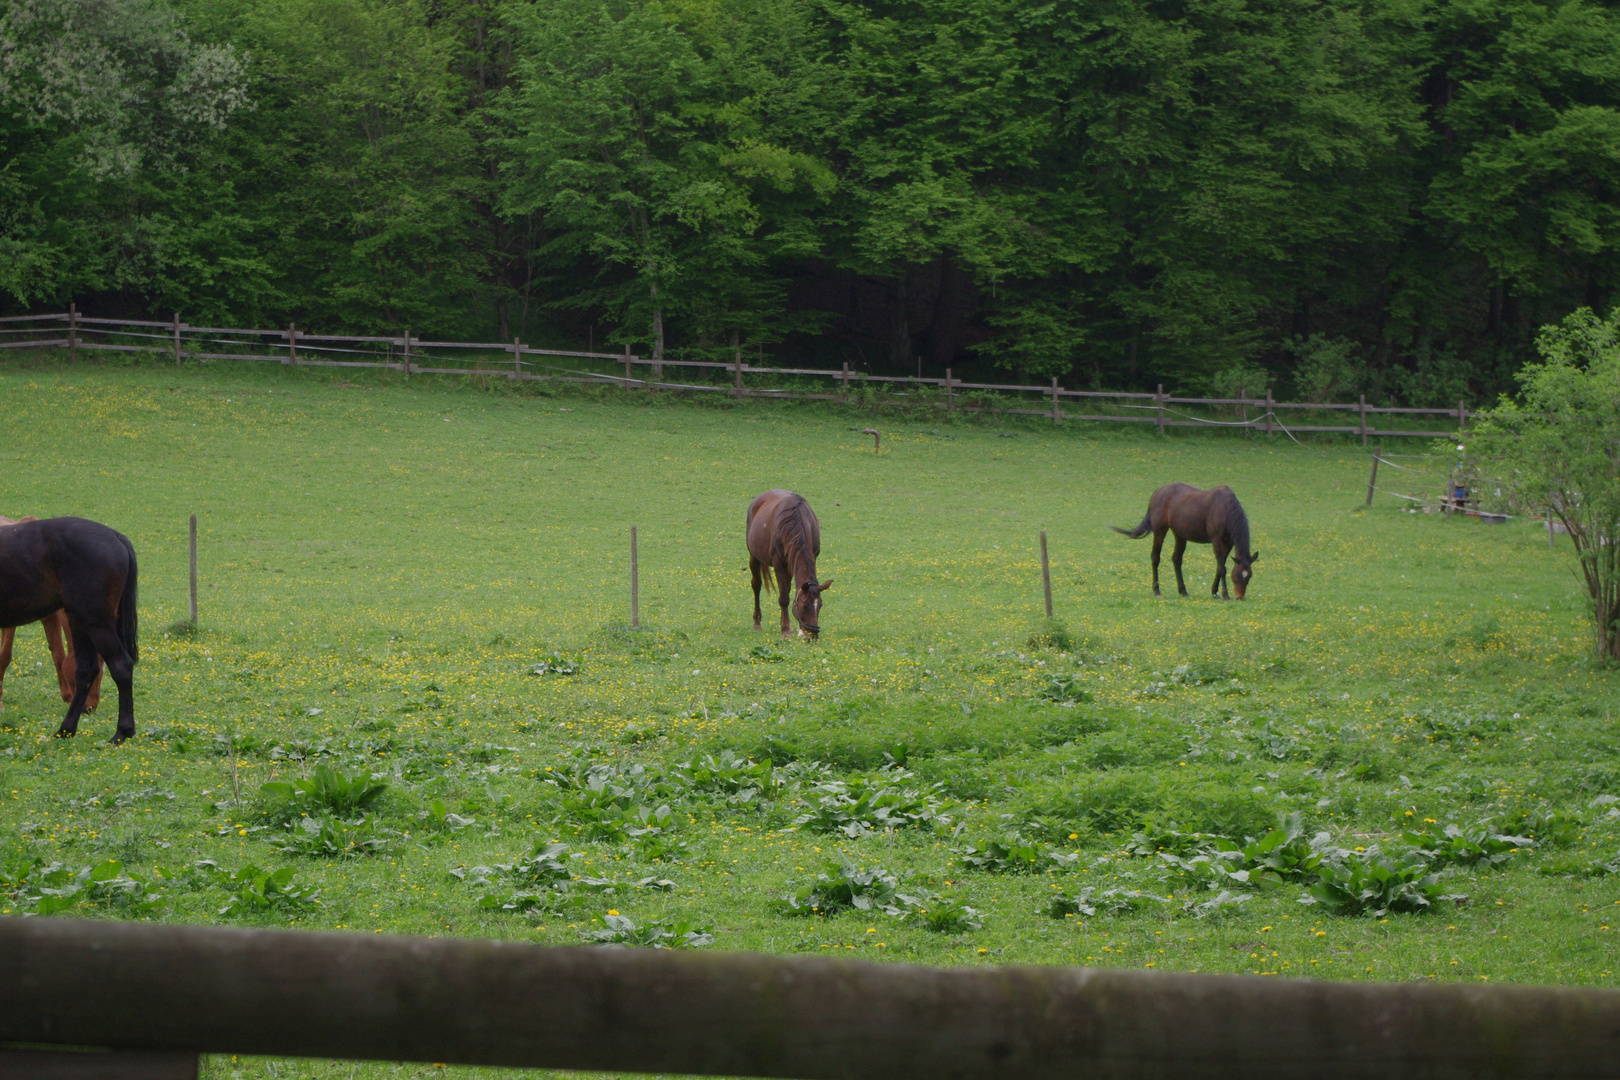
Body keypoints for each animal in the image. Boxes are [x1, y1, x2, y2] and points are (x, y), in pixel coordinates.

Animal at [0, 518, 137, 744]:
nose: (90, 709)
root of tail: (115, 536)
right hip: (79, 621)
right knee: (86, 671)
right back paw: (66, 729)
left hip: (96, 622)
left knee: (121, 666)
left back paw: (121, 733)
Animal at [741, 492, 829, 637]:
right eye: (805, 606)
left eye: (820, 605)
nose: (812, 635)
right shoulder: (779, 563)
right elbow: (784, 598)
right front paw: (786, 631)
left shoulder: (811, 557)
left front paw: (793, 628)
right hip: (754, 556)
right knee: (756, 585)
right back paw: (757, 623)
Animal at [1114, 482, 1250, 599]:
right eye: (1236, 576)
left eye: (1249, 577)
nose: (1240, 597)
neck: (1225, 508)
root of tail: (1158, 491)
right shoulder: (1216, 540)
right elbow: (1222, 568)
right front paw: (1225, 594)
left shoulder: (1228, 543)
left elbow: (1220, 566)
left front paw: (1215, 592)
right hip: (1159, 531)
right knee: (1155, 558)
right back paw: (1157, 591)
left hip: (1179, 535)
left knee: (1176, 559)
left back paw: (1183, 590)